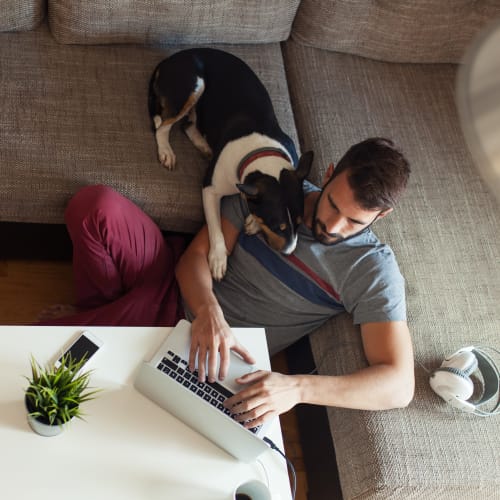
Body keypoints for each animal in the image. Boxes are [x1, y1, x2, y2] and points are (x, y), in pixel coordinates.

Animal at [147, 47, 312, 282]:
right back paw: (166, 151)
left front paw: (253, 221)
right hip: (195, 85)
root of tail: (172, 58)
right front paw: (218, 259)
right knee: (163, 127)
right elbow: (215, 227)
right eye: (277, 226)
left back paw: (203, 144)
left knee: (187, 126)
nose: (289, 253)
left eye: (299, 223)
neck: (261, 154)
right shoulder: (210, 190)